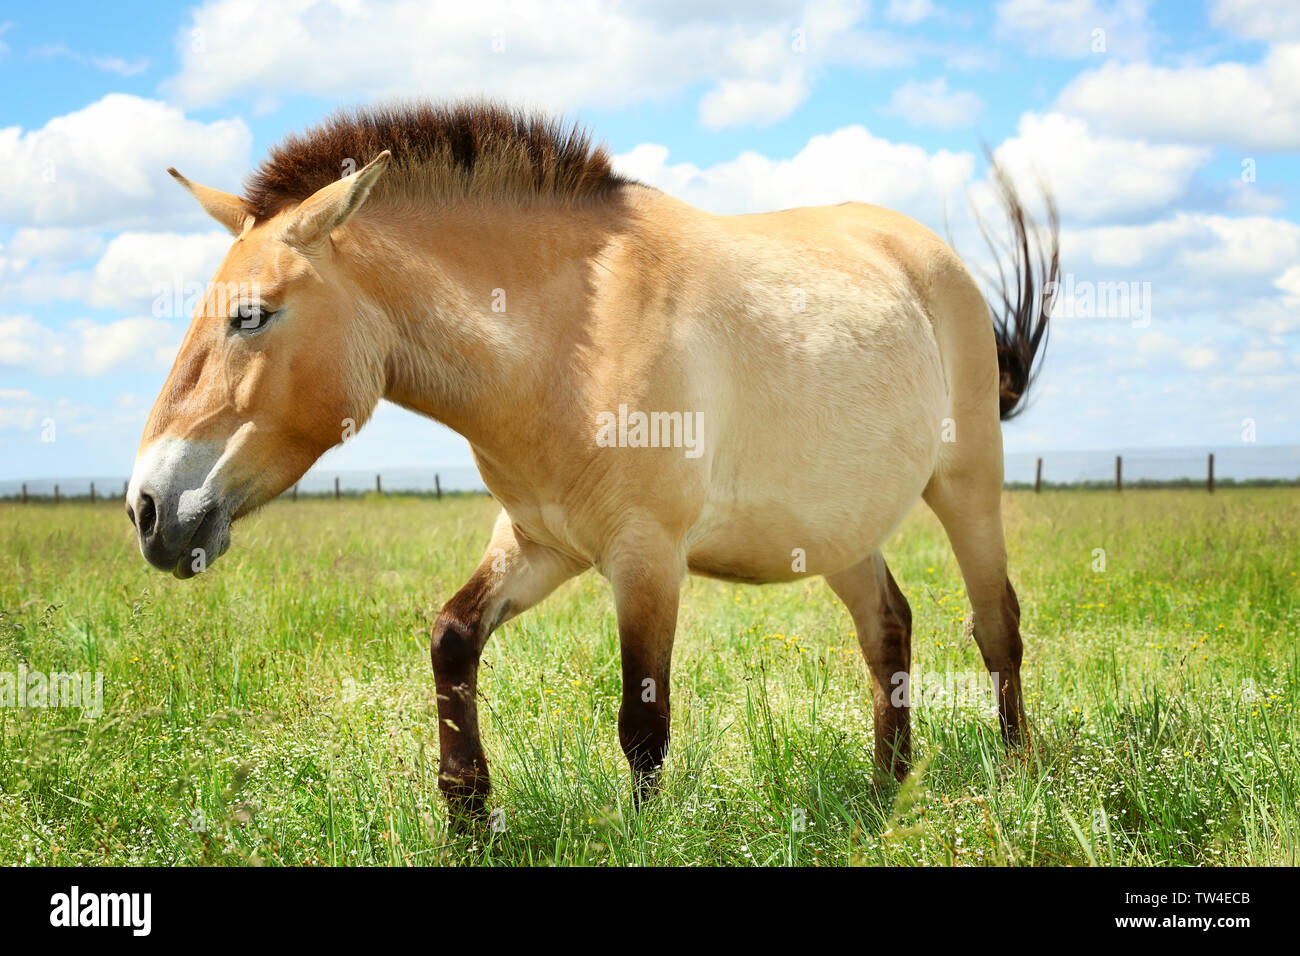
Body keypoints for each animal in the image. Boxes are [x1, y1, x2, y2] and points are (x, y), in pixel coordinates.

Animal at [129, 102, 1055, 822]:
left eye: (251, 315)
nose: (148, 508)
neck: (572, 337)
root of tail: (927, 256)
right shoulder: (541, 543)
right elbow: (452, 637)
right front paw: (468, 812)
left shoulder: (645, 558)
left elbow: (642, 723)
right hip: (834, 527)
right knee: (887, 626)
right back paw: (885, 788)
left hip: (967, 485)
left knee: (996, 626)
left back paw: (1019, 773)